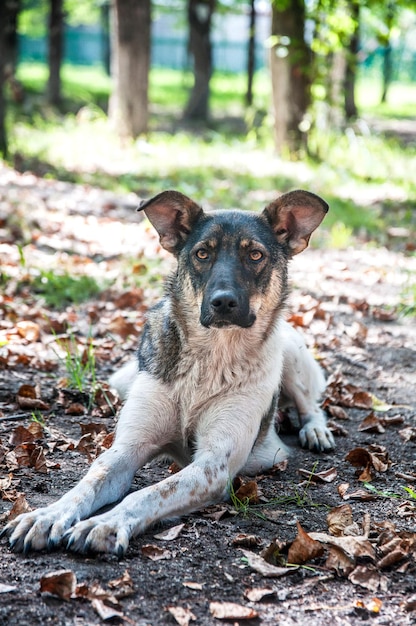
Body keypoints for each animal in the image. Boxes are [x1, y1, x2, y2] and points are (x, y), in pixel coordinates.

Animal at [0, 188, 334, 552]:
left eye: (255, 255)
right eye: (202, 253)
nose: (223, 302)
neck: (211, 358)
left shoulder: (212, 465)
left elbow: (146, 494)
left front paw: (105, 524)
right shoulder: (128, 448)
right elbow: (91, 480)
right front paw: (46, 516)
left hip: (289, 351)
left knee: (310, 403)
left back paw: (316, 430)